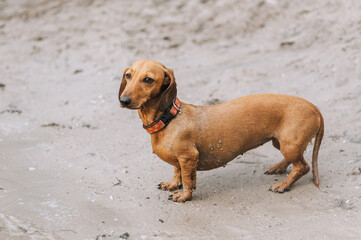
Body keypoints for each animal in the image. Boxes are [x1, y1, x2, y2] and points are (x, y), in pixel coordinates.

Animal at [118, 59, 324, 202]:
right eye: (128, 75)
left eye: (148, 79)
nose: (123, 100)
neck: (169, 119)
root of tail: (314, 107)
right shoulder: (179, 159)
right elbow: (177, 171)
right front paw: (173, 184)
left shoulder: (188, 156)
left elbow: (187, 178)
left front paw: (184, 196)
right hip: (280, 143)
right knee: (296, 161)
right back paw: (278, 168)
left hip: (289, 145)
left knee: (303, 166)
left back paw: (283, 185)